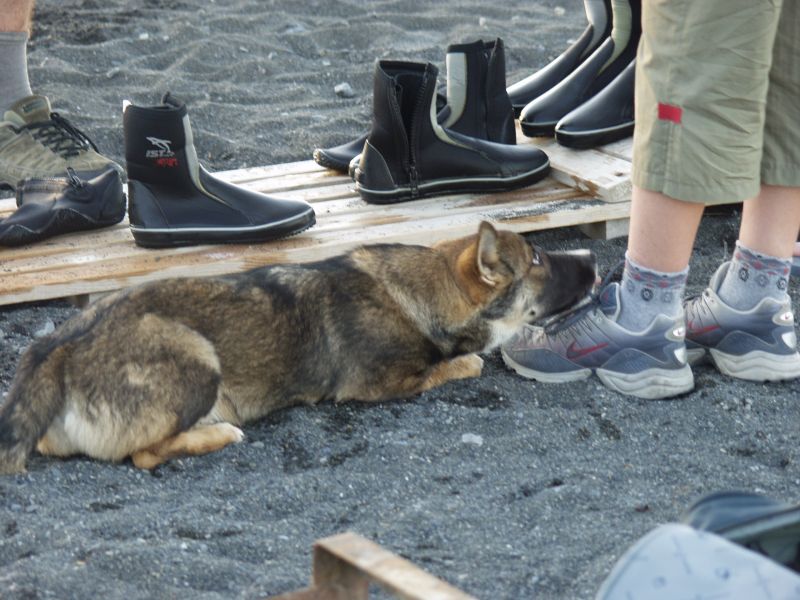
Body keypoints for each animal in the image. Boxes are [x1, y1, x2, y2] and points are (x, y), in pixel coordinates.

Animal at [0, 221, 595, 473]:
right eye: (537, 259)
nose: (593, 259)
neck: (425, 292)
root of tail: (55, 348)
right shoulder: (379, 384)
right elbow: (463, 365)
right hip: (195, 355)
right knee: (145, 455)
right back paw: (219, 432)